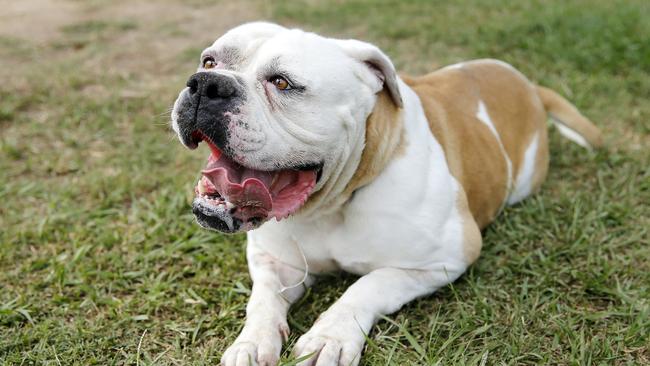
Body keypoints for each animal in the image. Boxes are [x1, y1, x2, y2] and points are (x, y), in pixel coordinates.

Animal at [170, 22, 600, 366]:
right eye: (209, 61)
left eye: (282, 82)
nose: (206, 83)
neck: (335, 203)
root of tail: (525, 82)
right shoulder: (275, 260)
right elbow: (263, 299)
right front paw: (251, 343)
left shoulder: (441, 259)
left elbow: (368, 286)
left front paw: (330, 335)